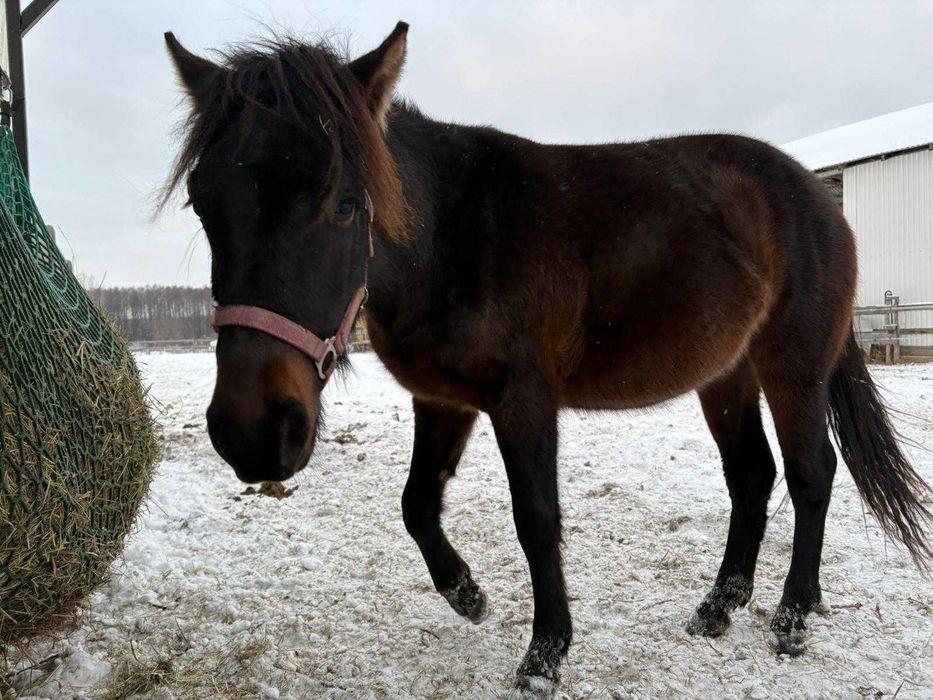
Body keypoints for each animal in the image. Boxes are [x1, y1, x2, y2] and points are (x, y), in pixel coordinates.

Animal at [163, 22, 932, 697]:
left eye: (347, 203)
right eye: (202, 204)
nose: (253, 433)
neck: (452, 237)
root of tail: (816, 196)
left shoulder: (524, 402)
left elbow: (535, 519)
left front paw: (544, 655)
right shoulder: (441, 400)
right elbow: (416, 504)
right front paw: (467, 594)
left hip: (791, 365)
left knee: (809, 475)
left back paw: (793, 617)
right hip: (726, 376)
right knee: (751, 476)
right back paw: (718, 606)